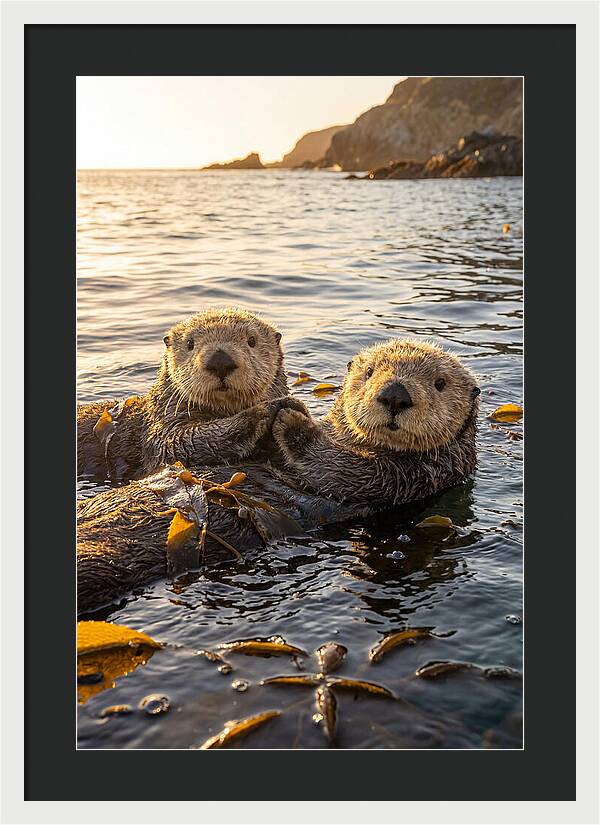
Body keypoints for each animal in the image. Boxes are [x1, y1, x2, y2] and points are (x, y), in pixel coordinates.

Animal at [77, 308, 302, 481]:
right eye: (190, 343)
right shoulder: (162, 427)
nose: (220, 361)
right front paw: (267, 410)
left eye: (252, 340)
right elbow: (177, 443)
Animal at [77, 339, 479, 614]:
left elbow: (339, 468)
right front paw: (278, 407)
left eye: (440, 383)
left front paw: (290, 418)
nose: (395, 395)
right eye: (369, 374)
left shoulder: (410, 477)